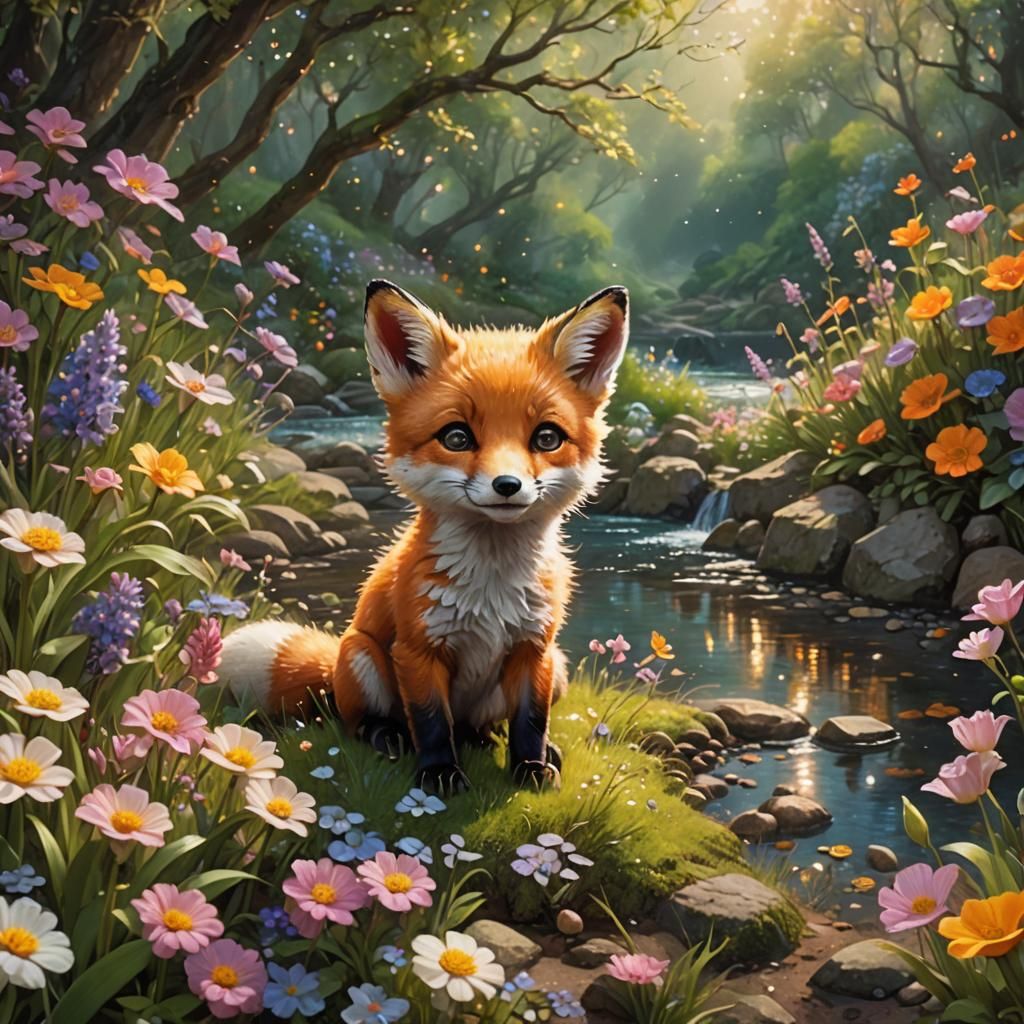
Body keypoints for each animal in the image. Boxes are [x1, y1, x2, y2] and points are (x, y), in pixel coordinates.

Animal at [220, 278, 629, 793]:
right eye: (456, 438)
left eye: (547, 438)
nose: (508, 486)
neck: (491, 588)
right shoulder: (417, 650)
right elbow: (432, 722)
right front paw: (439, 776)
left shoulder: (533, 649)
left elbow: (530, 721)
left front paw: (530, 768)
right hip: (363, 657)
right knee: (359, 722)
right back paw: (388, 737)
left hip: (558, 666)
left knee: (480, 727)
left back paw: (498, 742)